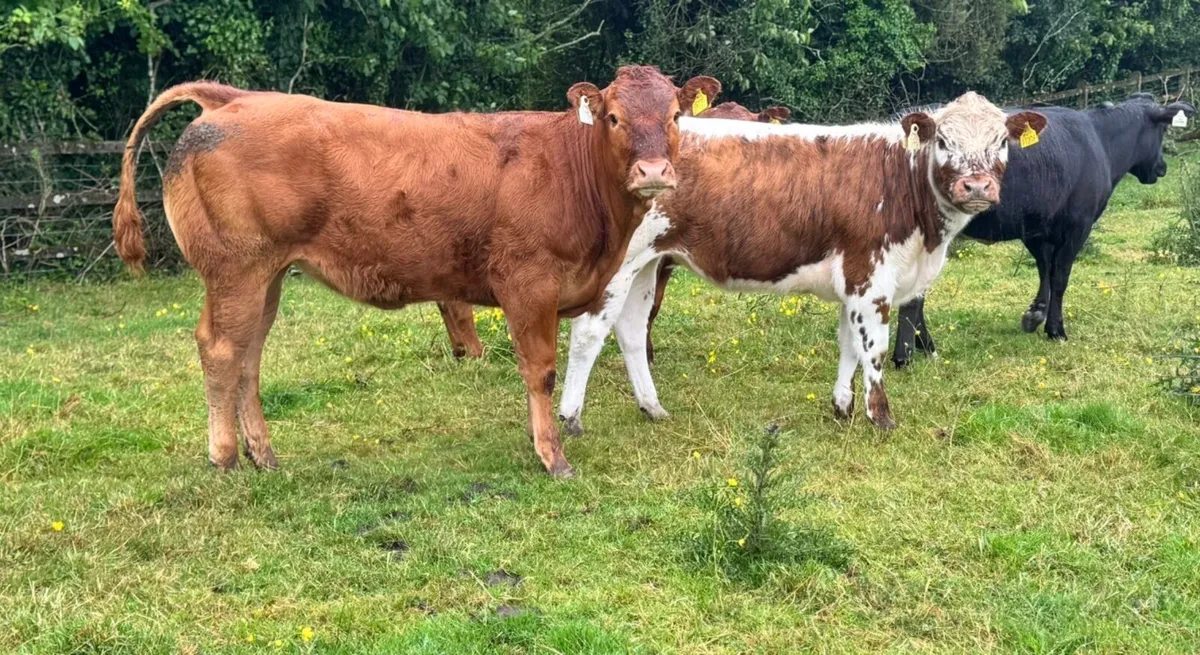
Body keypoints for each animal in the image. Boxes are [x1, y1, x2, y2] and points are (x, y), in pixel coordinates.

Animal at [112, 67, 721, 478]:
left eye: (674, 116)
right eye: (615, 117)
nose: (653, 172)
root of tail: (232, 99)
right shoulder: (529, 285)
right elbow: (541, 372)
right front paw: (552, 456)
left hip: (268, 276)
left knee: (249, 354)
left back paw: (263, 454)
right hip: (237, 269)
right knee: (221, 350)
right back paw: (225, 457)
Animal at [554, 92, 1046, 433]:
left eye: (1002, 142)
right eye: (943, 140)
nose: (976, 186)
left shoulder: (854, 279)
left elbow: (849, 344)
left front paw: (843, 407)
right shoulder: (871, 276)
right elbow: (874, 349)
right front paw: (881, 416)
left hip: (649, 262)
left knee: (631, 329)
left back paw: (653, 407)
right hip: (620, 262)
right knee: (588, 333)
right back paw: (571, 417)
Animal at [892, 94, 1196, 367]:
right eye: (1162, 129)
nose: (1161, 167)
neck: (1101, 142)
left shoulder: (1038, 228)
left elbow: (1044, 269)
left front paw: (1035, 314)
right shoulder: (1077, 224)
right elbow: (1059, 276)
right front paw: (1056, 329)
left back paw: (925, 346)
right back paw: (906, 355)